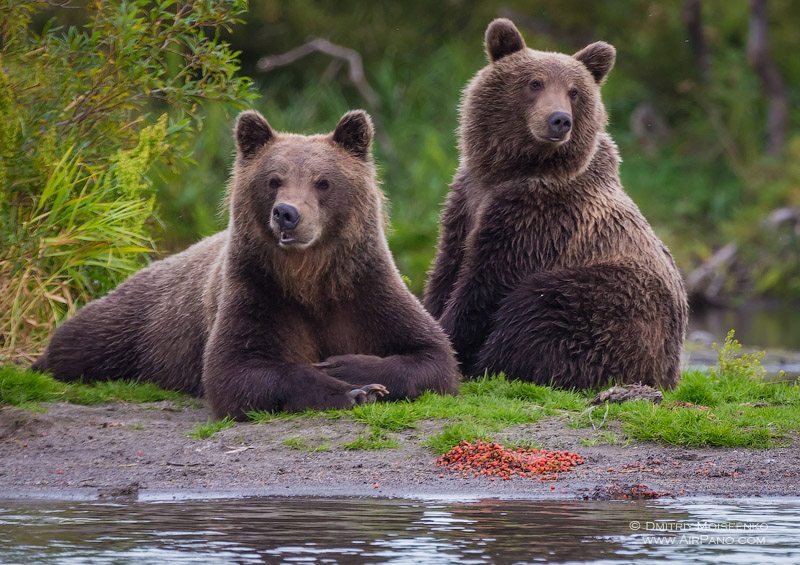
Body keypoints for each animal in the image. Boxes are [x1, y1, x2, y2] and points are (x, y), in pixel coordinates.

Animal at [34, 110, 460, 418]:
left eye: (322, 181)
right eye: (273, 179)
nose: (287, 213)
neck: (308, 275)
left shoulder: (364, 288)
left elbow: (432, 354)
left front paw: (348, 369)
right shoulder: (259, 289)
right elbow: (237, 369)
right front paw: (351, 391)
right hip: (139, 319)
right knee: (84, 341)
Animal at [424, 17, 688, 388]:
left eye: (574, 91)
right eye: (535, 83)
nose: (560, 119)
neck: (511, 170)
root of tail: (669, 373)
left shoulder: (540, 214)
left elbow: (487, 281)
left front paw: (449, 341)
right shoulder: (466, 199)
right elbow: (447, 266)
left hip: (613, 300)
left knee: (540, 312)